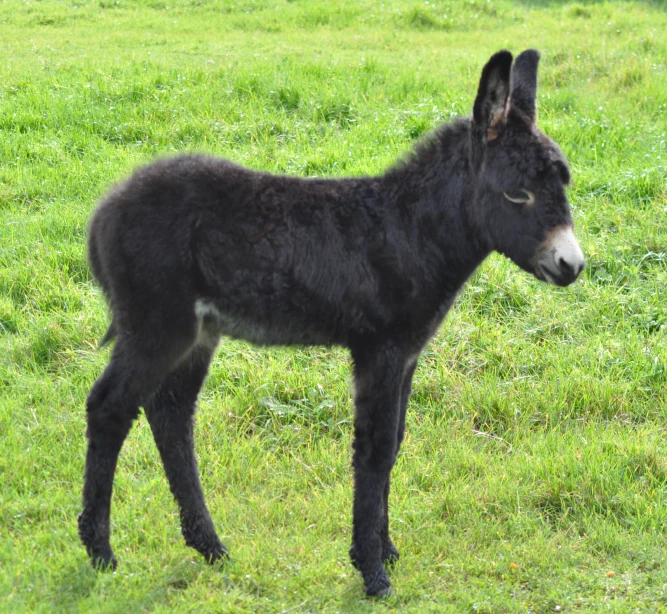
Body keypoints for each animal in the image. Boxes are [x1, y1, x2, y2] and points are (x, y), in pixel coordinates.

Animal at [79, 50, 584, 600]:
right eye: (517, 195)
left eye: (563, 183)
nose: (572, 265)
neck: (411, 232)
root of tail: (104, 210)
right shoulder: (379, 351)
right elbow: (374, 450)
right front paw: (373, 573)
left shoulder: (407, 355)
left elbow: (396, 442)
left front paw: (385, 549)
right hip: (157, 325)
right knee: (110, 408)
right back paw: (100, 552)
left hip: (197, 333)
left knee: (171, 414)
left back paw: (209, 547)